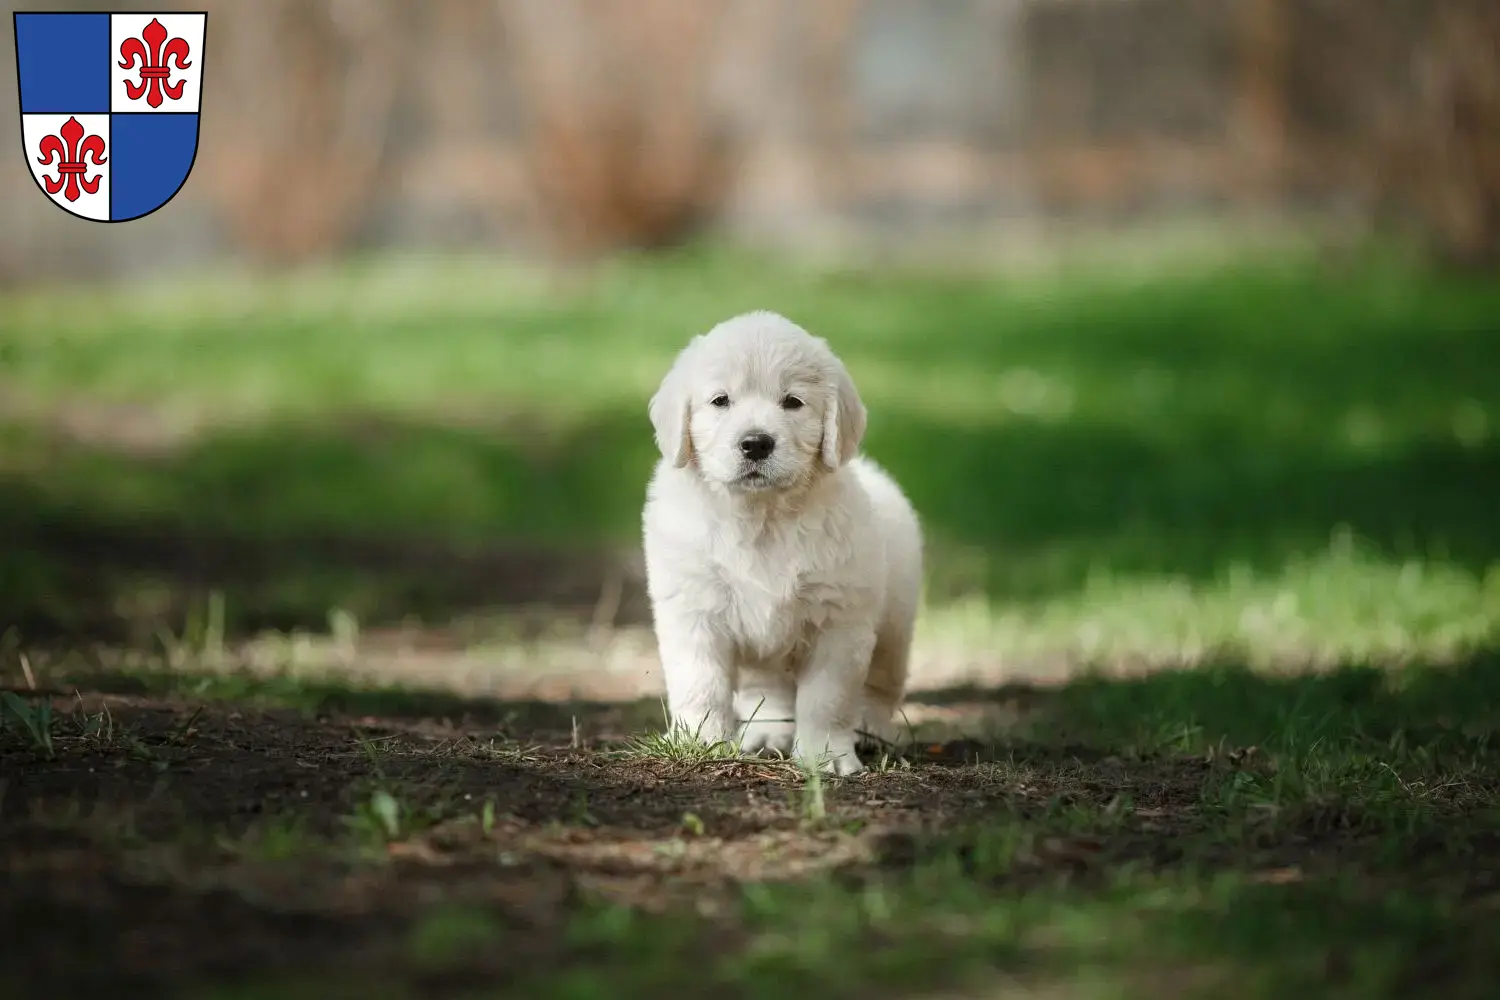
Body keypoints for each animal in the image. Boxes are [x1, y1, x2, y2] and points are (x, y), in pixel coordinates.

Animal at [639, 310, 918, 773]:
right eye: (720, 401)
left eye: (792, 402)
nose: (755, 443)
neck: (761, 517)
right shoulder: (694, 610)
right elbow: (700, 685)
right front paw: (700, 743)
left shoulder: (838, 621)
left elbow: (828, 699)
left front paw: (827, 756)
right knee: (766, 691)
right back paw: (768, 734)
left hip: (895, 625)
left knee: (881, 685)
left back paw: (870, 731)